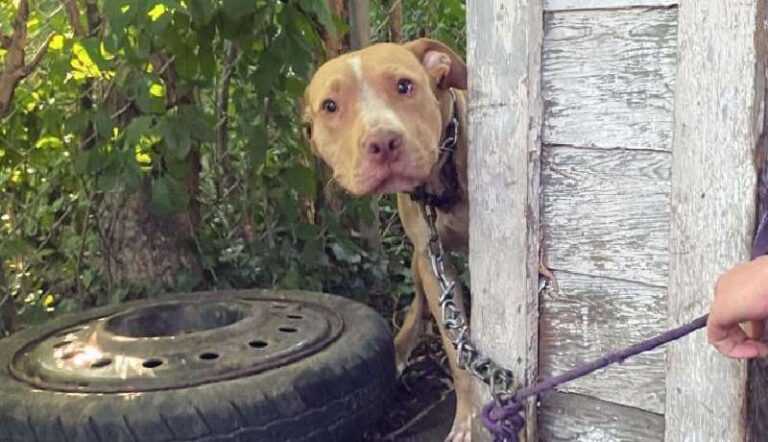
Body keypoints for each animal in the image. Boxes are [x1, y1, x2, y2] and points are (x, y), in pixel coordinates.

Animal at [304, 38, 472, 442]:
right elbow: (456, 348)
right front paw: (469, 418)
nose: (382, 141)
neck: (440, 183)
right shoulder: (432, 260)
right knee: (420, 305)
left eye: (404, 85)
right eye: (330, 106)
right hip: (419, 261)